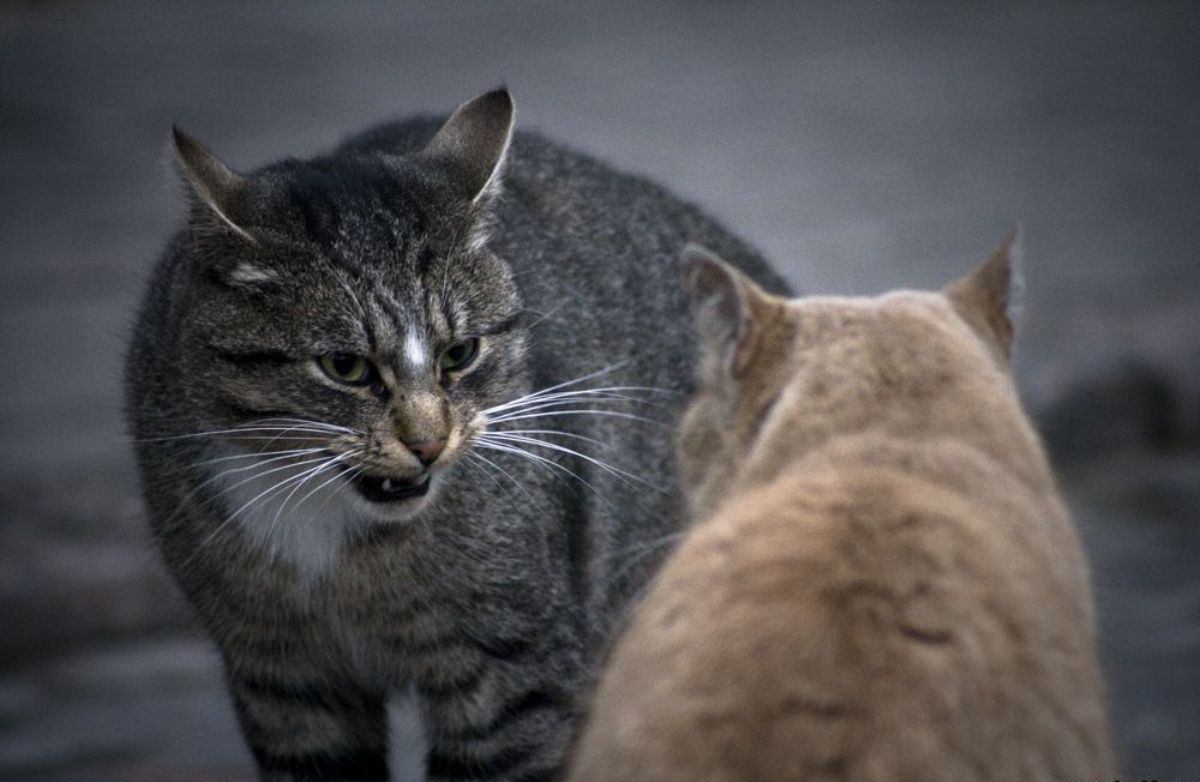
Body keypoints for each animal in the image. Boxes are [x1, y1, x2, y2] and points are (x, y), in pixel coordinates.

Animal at [126, 86, 787, 782]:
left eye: (460, 353)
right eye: (345, 366)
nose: (428, 442)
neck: (327, 534)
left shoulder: (513, 677)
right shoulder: (284, 679)